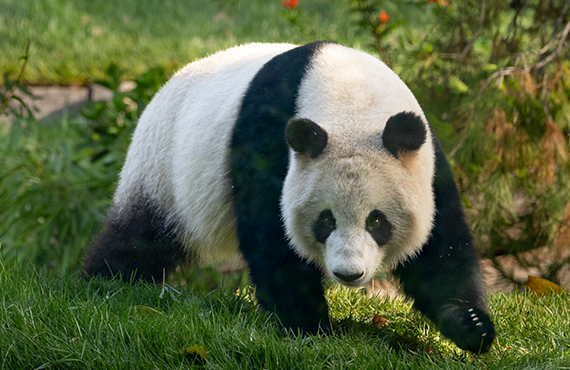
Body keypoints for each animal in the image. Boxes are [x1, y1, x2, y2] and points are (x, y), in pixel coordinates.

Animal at [84, 40, 492, 352]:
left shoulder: (426, 161)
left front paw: (470, 324)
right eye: (326, 220)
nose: (349, 273)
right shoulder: (268, 135)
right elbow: (271, 233)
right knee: (141, 236)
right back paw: (104, 282)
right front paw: (308, 325)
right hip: (163, 169)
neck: (353, 98)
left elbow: (441, 246)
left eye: (377, 221)